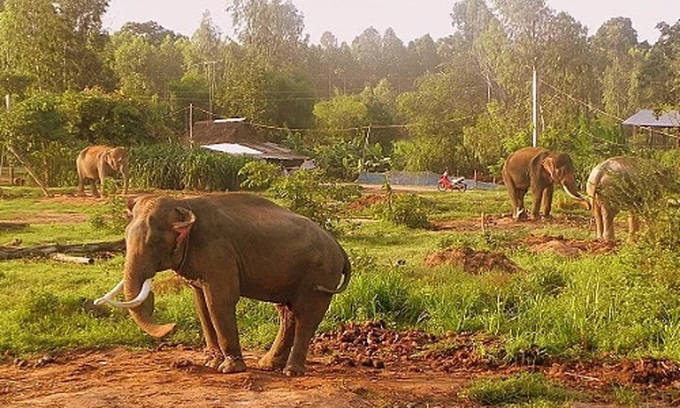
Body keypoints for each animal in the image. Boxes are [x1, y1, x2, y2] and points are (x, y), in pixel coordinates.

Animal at [95, 193, 351, 376]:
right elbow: (201, 305)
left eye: (156, 241)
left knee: (306, 314)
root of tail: (339, 248)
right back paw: (268, 365)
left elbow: (219, 301)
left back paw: (291, 372)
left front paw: (228, 369)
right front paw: (211, 363)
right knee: (287, 313)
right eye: (126, 237)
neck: (183, 203)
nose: (172, 326)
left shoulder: (219, 254)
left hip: (319, 275)